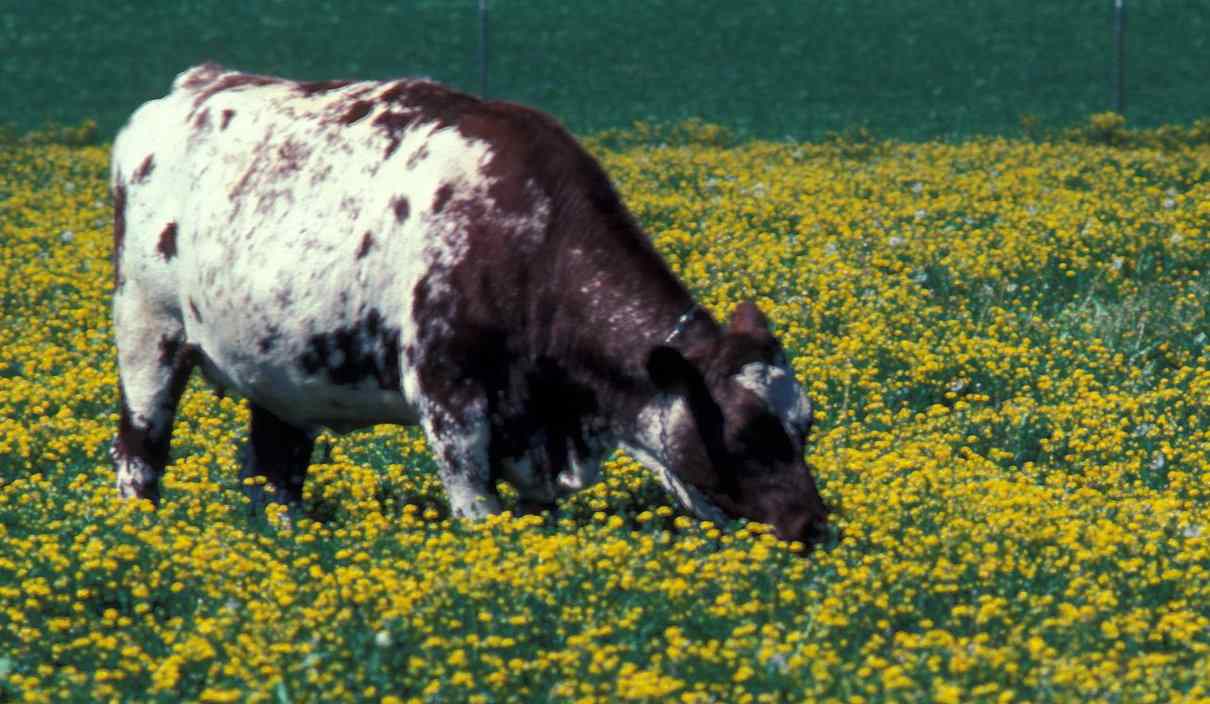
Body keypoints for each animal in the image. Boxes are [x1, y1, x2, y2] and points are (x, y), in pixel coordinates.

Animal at [108, 61, 832, 546]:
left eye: (805, 423)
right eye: (744, 430)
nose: (813, 525)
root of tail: (193, 85)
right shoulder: (447, 397)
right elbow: (479, 515)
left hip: (276, 372)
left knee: (273, 477)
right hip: (147, 334)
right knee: (139, 453)